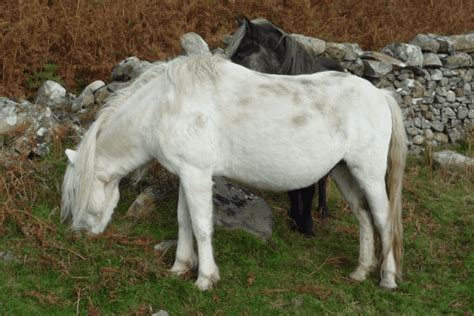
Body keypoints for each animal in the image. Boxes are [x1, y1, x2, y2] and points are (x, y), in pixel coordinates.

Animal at [62, 53, 408, 288]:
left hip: (368, 173)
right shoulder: (187, 176)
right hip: (344, 172)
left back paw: (387, 278)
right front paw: (180, 267)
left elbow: (202, 226)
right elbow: (184, 222)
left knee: (382, 218)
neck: (165, 107)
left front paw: (205, 278)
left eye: (78, 192)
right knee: (363, 217)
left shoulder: (197, 175)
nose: (80, 233)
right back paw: (360, 271)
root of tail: (380, 94)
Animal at [226, 16, 344, 235]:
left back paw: (323, 209)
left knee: (323, 178)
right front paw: (294, 217)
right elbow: (293, 188)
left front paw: (307, 225)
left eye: (240, 54)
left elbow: (309, 189)